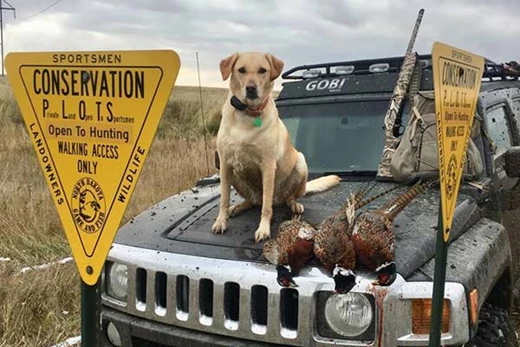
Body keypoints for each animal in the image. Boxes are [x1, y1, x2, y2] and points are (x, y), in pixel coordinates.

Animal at [211, 52, 342, 242]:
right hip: (237, 176)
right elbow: (223, 199)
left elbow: (266, 207)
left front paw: (264, 228)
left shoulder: (267, 166)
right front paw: (221, 221)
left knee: (285, 198)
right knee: (253, 201)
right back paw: (238, 207)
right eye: (241, 70)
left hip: (300, 164)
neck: (247, 116)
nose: (251, 88)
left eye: (262, 70)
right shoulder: (225, 164)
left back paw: (294, 205)